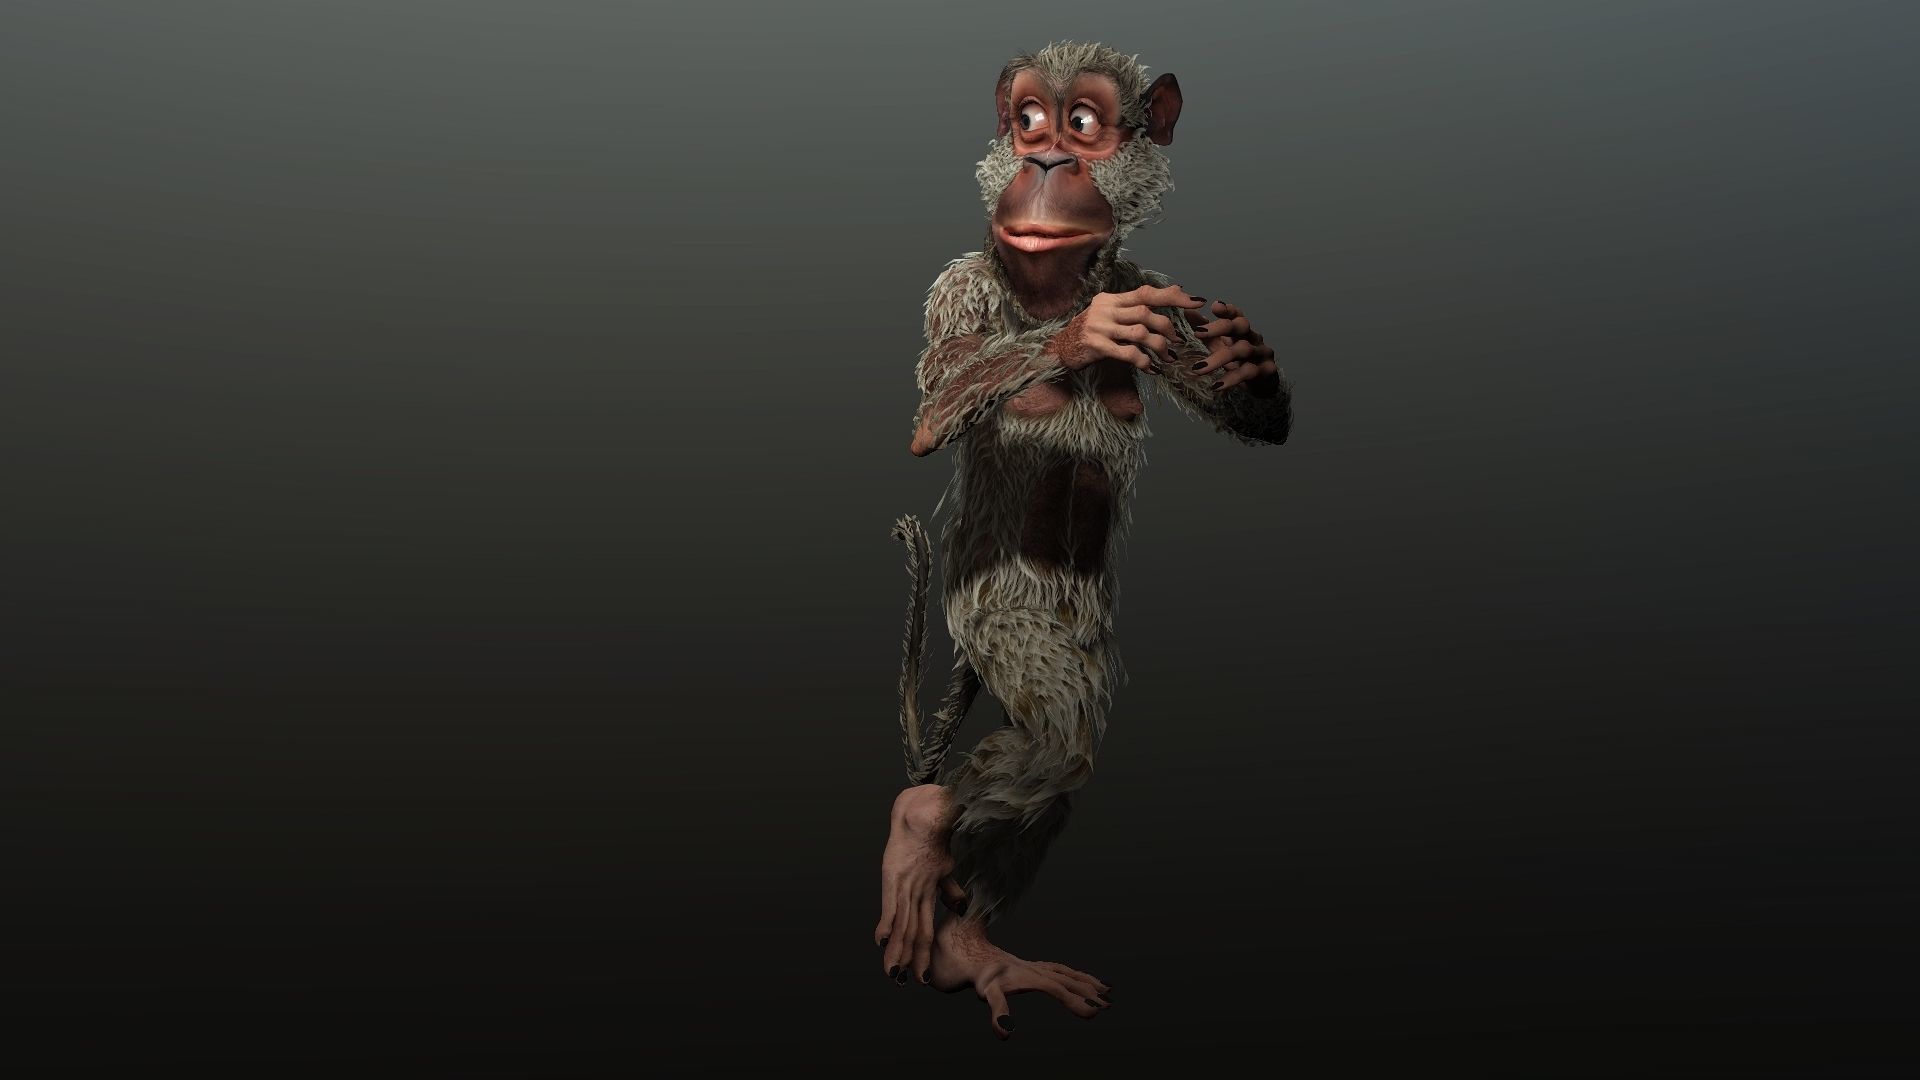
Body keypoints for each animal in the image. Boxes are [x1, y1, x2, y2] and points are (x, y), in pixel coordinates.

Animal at [875, 41, 1292, 1039]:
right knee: (1055, 737)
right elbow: (933, 415)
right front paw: (1080, 338)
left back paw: (965, 935)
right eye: (1029, 123)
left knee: (1061, 748)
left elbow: (1236, 403)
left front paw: (1251, 362)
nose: (1050, 162)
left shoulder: (1150, 281)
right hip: (1007, 618)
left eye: (1085, 125)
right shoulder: (959, 286)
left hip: (1085, 635)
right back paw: (924, 837)